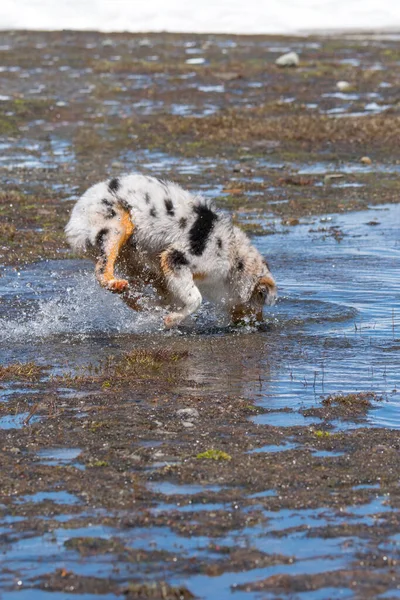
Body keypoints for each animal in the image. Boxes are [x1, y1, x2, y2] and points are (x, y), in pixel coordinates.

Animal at [66, 173, 278, 328]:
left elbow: (171, 298)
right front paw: (172, 319)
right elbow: (196, 299)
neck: (234, 257)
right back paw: (115, 283)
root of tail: (75, 216)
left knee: (129, 289)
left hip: (135, 259)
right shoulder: (175, 258)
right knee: (102, 271)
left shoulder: (165, 271)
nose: (260, 324)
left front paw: (165, 314)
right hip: (117, 225)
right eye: (260, 300)